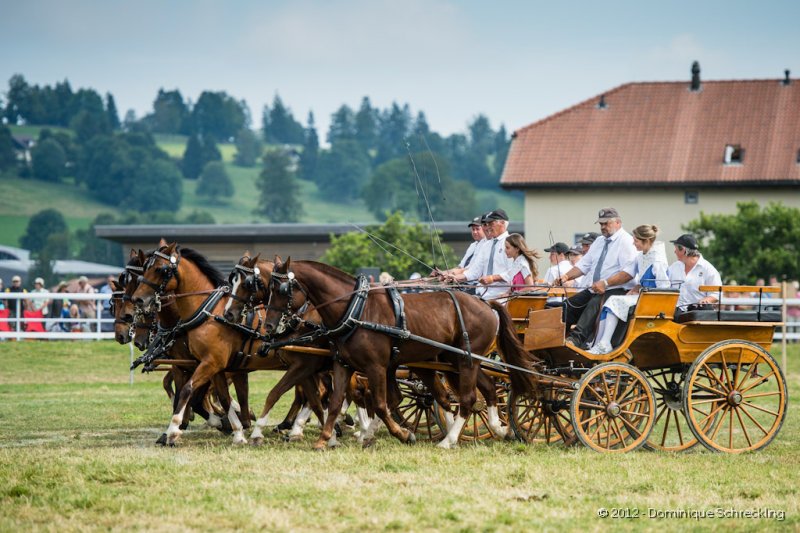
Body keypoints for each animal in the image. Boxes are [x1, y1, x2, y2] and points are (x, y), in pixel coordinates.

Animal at [262, 258, 544, 448]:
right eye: (267, 288)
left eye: (282, 289)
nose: (268, 326)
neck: (355, 309)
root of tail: (486, 304)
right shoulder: (343, 364)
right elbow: (334, 403)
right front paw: (325, 440)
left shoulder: (376, 367)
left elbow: (380, 403)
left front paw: (402, 434)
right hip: (456, 360)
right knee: (486, 390)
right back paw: (501, 429)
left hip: (468, 360)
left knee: (468, 398)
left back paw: (449, 440)